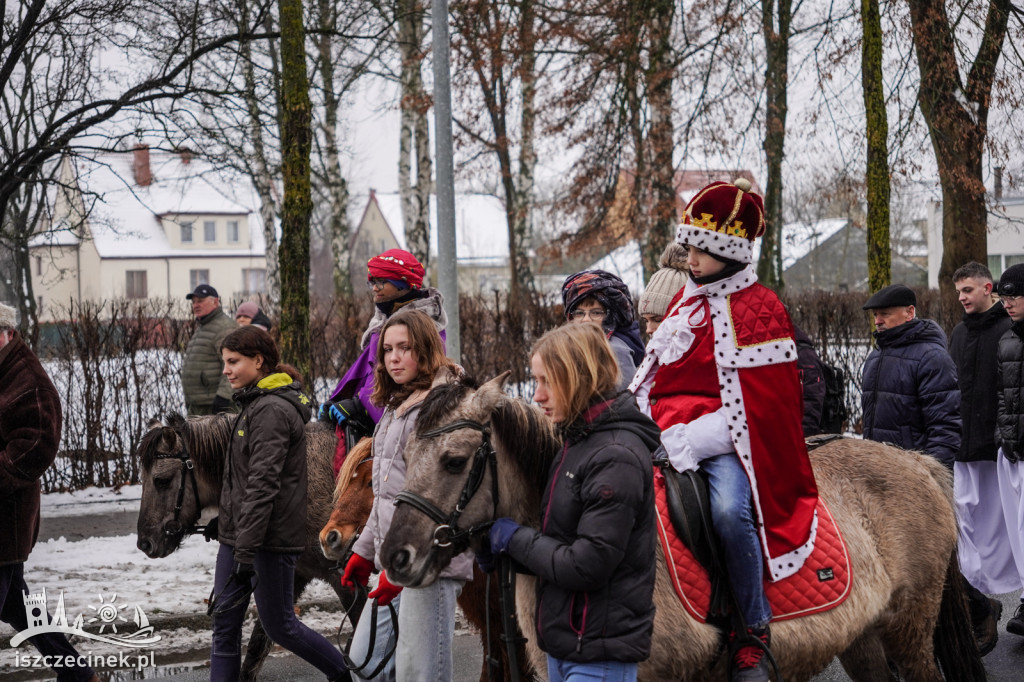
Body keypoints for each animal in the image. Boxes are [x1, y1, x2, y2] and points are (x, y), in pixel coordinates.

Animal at [376, 372, 983, 679]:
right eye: (404, 454)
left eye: (455, 460)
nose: (394, 557)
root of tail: (916, 462)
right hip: (863, 640)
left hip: (909, 630)